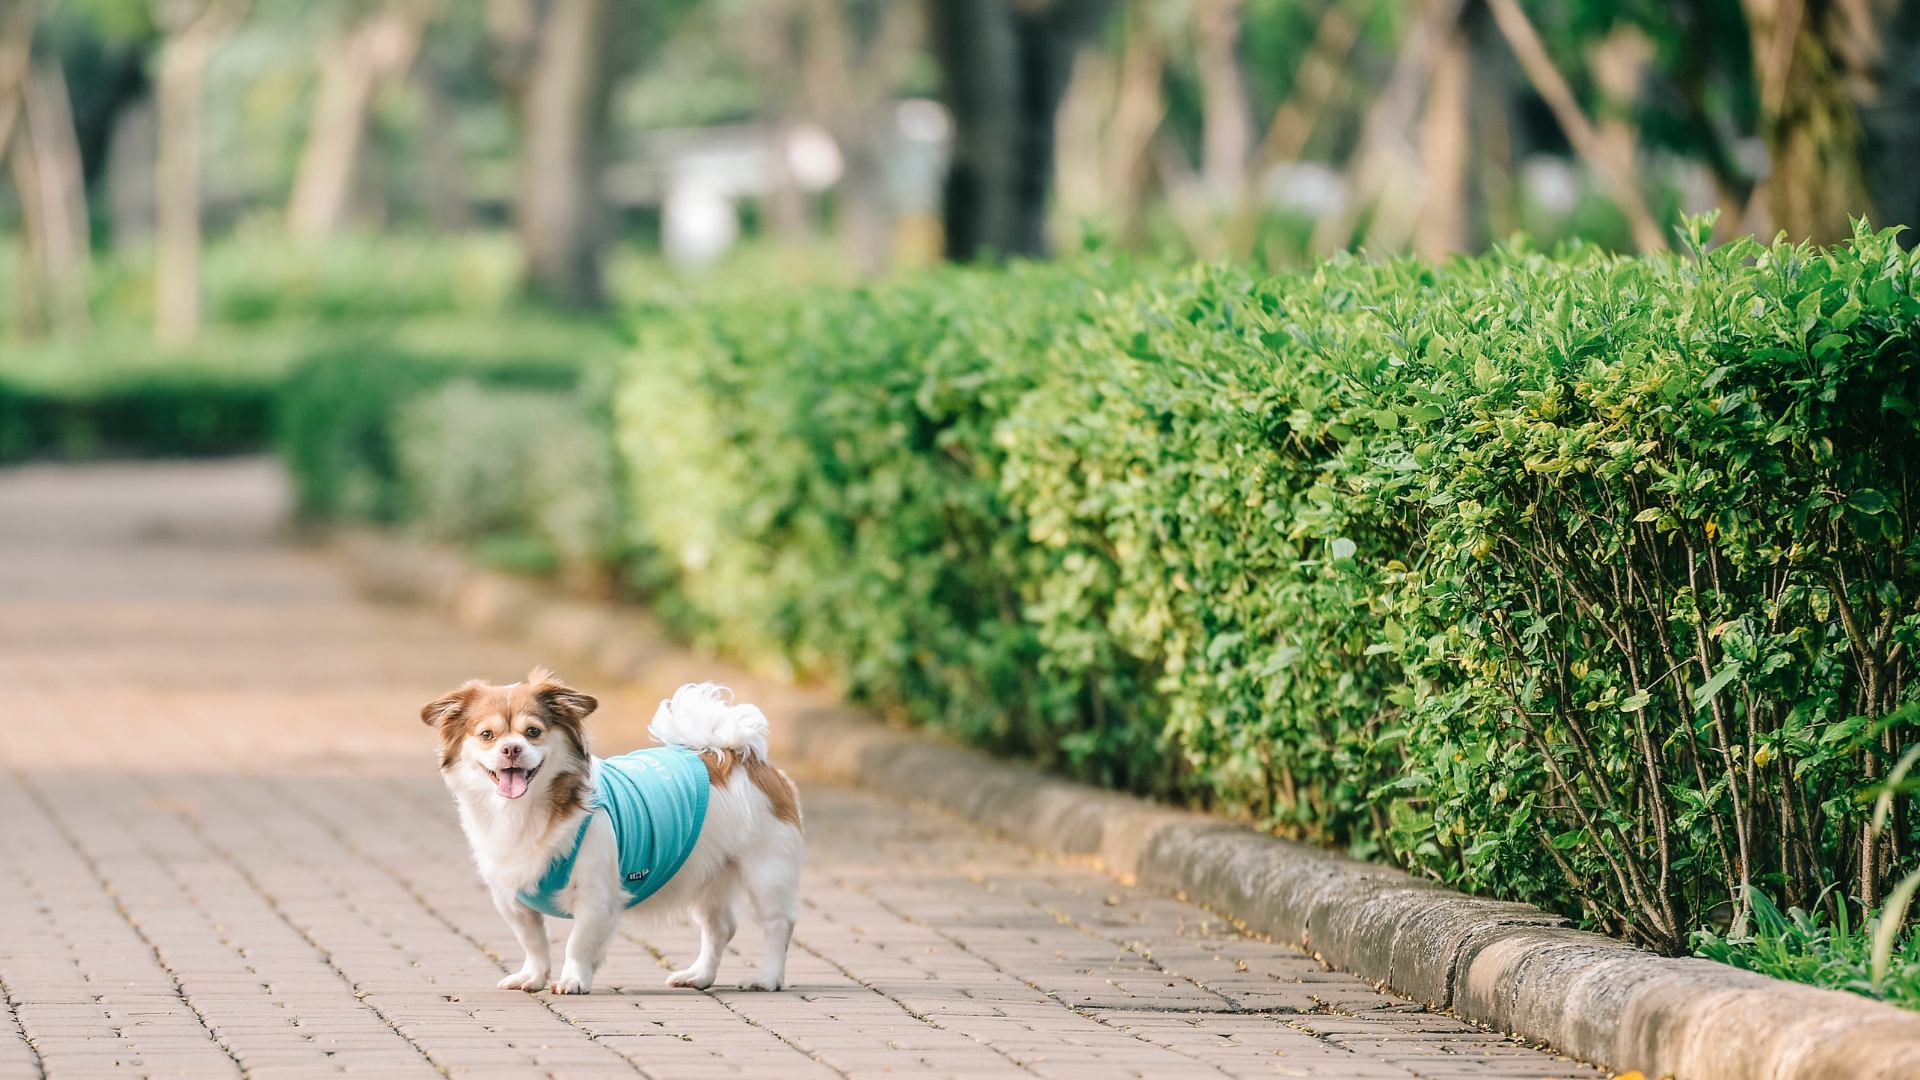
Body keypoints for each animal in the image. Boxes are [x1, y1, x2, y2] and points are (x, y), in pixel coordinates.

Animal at [420, 672, 802, 991]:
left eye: (533, 732)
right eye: (487, 735)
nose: (511, 748)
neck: (523, 812)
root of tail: (737, 754)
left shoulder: (596, 895)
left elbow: (577, 942)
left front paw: (572, 980)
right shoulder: (511, 898)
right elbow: (533, 941)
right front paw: (533, 977)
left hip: (766, 872)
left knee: (777, 926)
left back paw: (768, 979)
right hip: (708, 875)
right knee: (719, 927)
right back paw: (699, 976)